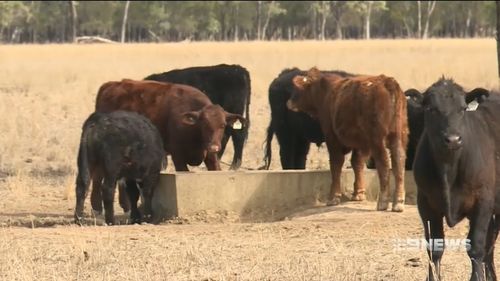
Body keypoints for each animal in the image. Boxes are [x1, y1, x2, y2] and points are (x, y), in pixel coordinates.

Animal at [288, 68, 408, 211]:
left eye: (298, 89)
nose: (289, 102)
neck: (326, 92)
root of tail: (387, 82)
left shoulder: (332, 137)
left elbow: (336, 164)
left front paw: (333, 197)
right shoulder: (361, 144)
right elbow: (357, 163)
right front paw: (358, 194)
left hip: (377, 139)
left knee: (383, 163)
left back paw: (383, 202)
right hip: (398, 136)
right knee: (399, 161)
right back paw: (398, 202)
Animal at [412, 77, 498, 280]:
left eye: (463, 109)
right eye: (431, 109)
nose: (453, 139)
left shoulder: (483, 201)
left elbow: (476, 246)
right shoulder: (426, 204)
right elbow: (434, 248)